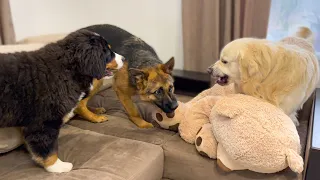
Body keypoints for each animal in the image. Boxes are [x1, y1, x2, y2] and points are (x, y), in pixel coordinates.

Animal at [0, 28, 124, 172]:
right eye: (108, 52)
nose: (124, 58)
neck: (68, 69)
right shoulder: (44, 121)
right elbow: (48, 148)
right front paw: (57, 166)